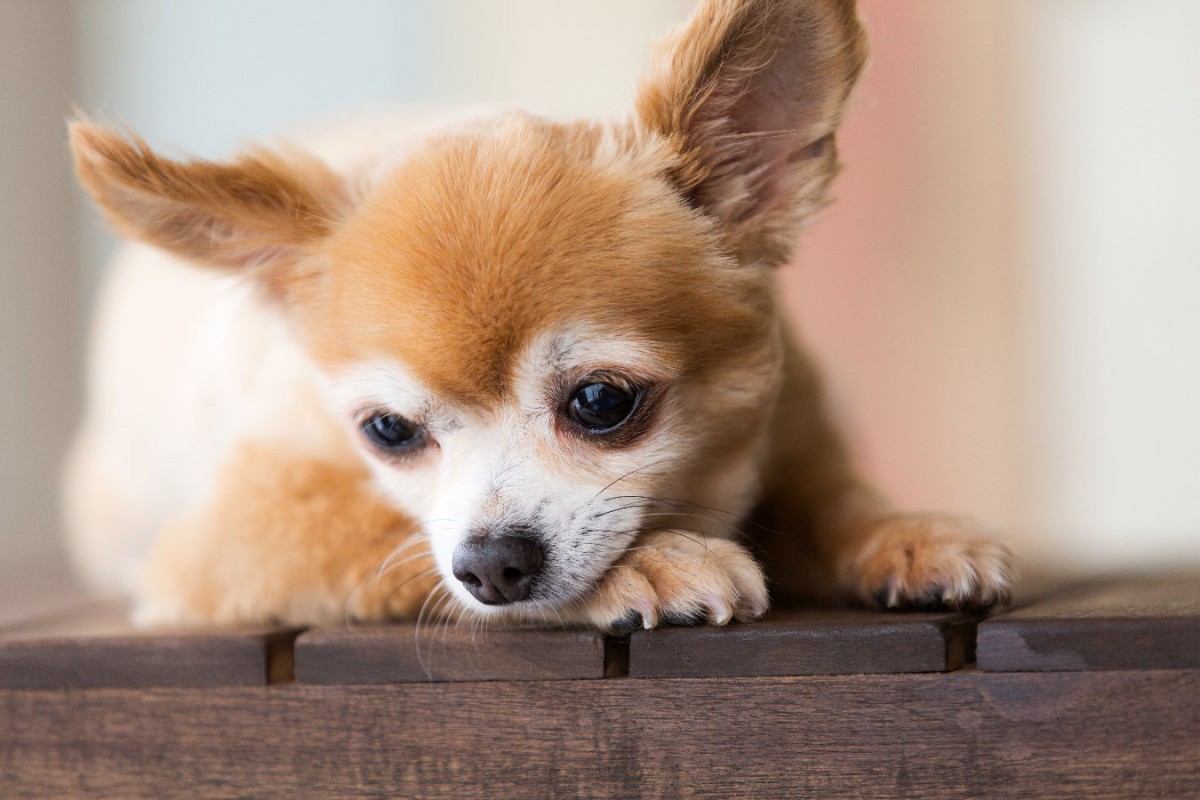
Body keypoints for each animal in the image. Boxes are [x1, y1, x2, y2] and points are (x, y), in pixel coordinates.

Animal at [65, 0, 1012, 633]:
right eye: (386, 432)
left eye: (601, 402)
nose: (491, 565)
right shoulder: (233, 535)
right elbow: (388, 532)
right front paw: (652, 564)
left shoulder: (793, 429)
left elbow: (832, 497)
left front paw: (906, 535)